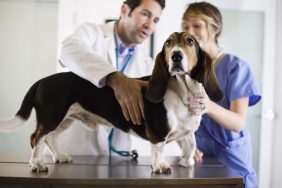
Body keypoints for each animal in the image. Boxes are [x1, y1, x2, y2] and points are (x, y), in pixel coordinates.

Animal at [0, 32, 223, 173]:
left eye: (190, 41)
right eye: (168, 43)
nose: (176, 56)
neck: (183, 92)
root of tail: (42, 80)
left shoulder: (187, 131)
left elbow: (190, 144)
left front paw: (187, 162)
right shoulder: (159, 132)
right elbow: (159, 149)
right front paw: (160, 166)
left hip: (64, 119)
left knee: (50, 138)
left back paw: (60, 156)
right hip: (52, 116)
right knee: (36, 138)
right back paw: (36, 164)